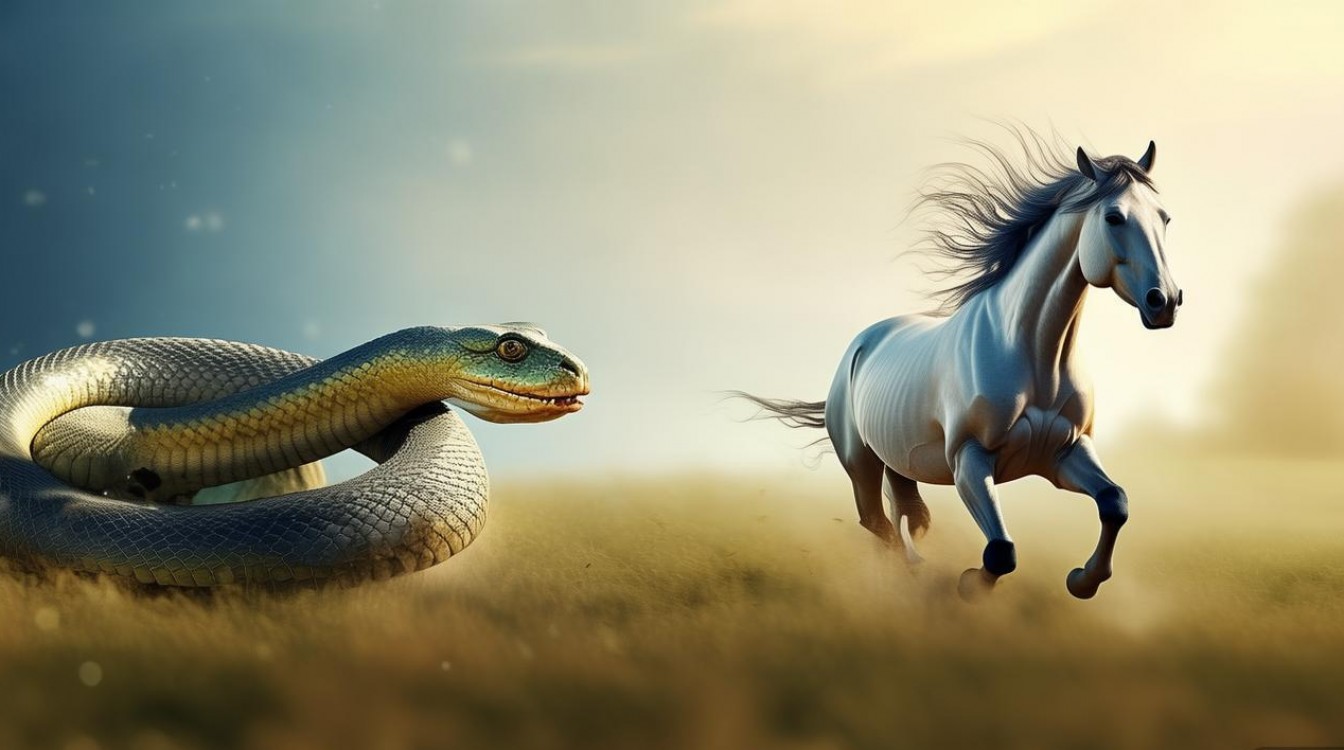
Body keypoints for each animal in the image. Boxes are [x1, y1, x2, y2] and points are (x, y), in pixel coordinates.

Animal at [740, 137, 1180, 599]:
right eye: (1114, 217)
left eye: (1164, 217)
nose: (1164, 301)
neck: (1034, 354)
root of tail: (860, 345)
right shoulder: (970, 457)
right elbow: (1000, 552)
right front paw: (970, 586)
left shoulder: (1067, 451)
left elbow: (1115, 502)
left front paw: (1083, 580)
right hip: (861, 463)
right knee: (879, 525)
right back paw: (908, 576)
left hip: (900, 465)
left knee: (907, 519)